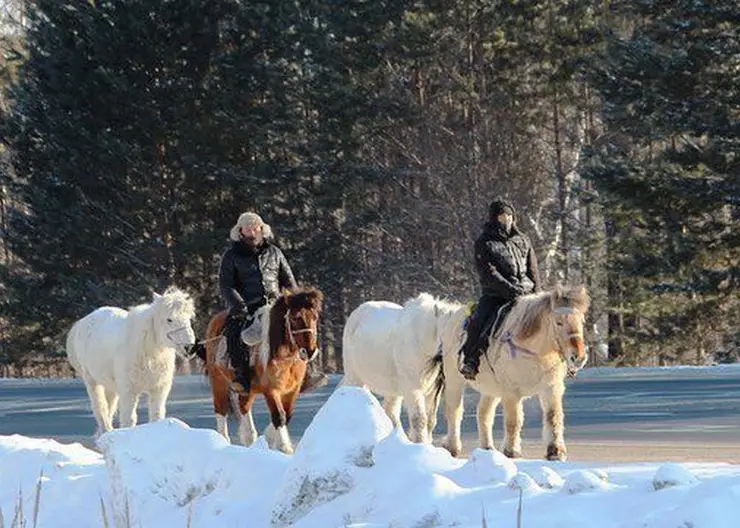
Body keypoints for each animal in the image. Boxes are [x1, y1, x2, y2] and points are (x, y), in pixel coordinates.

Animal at [66, 284, 197, 438]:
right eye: (169, 319)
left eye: (189, 318)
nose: (190, 347)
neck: (148, 352)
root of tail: (81, 323)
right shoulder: (129, 391)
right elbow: (129, 419)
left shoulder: (158, 389)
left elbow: (157, 416)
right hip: (92, 381)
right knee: (100, 409)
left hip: (111, 386)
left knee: (109, 409)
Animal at [199, 288, 324, 454]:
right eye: (294, 318)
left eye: (315, 317)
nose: (310, 352)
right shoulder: (271, 390)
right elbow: (280, 416)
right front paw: (284, 447)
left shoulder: (292, 390)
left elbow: (287, 414)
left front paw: (271, 439)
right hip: (218, 382)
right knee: (221, 410)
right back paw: (223, 440)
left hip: (248, 390)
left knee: (244, 407)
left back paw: (248, 437)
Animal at [342, 290, 462, 444]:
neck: (422, 340)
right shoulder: (412, 386)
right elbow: (419, 419)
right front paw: (421, 443)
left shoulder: (431, 388)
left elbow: (430, 420)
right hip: (354, 375)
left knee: (390, 412)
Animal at [440, 284, 588, 462]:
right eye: (558, 322)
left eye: (581, 320)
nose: (578, 357)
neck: (535, 351)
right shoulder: (511, 392)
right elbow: (514, 420)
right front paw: (512, 452)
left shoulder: (551, 388)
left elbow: (553, 416)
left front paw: (556, 452)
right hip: (454, 380)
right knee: (454, 411)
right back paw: (452, 448)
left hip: (491, 389)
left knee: (484, 413)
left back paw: (487, 449)